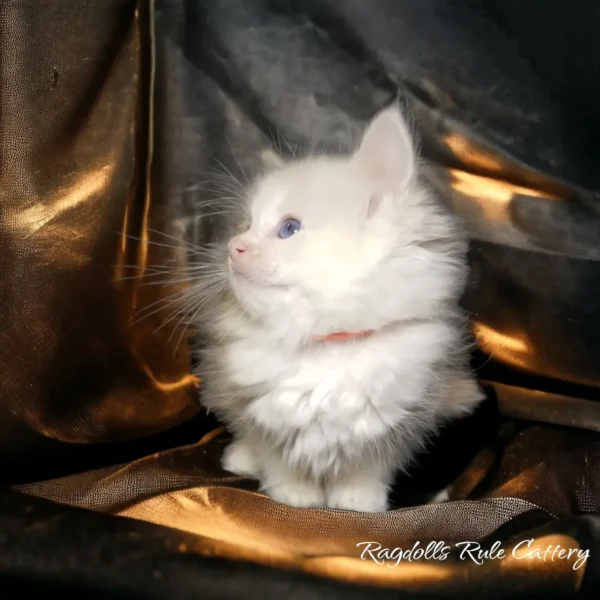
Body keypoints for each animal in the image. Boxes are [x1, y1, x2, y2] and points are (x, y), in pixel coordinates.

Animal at [195, 104, 486, 510]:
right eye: (245, 225)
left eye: (289, 228)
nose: (232, 248)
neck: (328, 343)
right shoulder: (256, 407)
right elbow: (278, 458)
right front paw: (294, 496)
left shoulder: (403, 418)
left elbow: (368, 470)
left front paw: (357, 503)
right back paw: (241, 458)